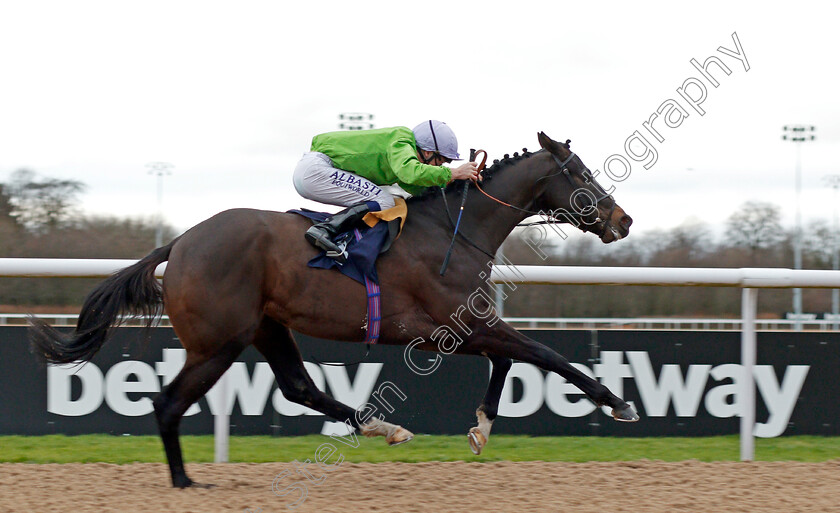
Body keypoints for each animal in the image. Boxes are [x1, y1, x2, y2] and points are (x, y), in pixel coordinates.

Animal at [31, 130, 636, 486]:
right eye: (580, 173)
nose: (623, 220)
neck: (452, 231)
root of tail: (178, 243)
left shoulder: (464, 326)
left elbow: (513, 359)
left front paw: (481, 429)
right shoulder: (452, 325)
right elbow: (543, 354)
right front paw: (616, 402)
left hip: (266, 328)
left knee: (299, 386)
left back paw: (383, 429)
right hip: (217, 343)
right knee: (167, 403)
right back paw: (183, 482)